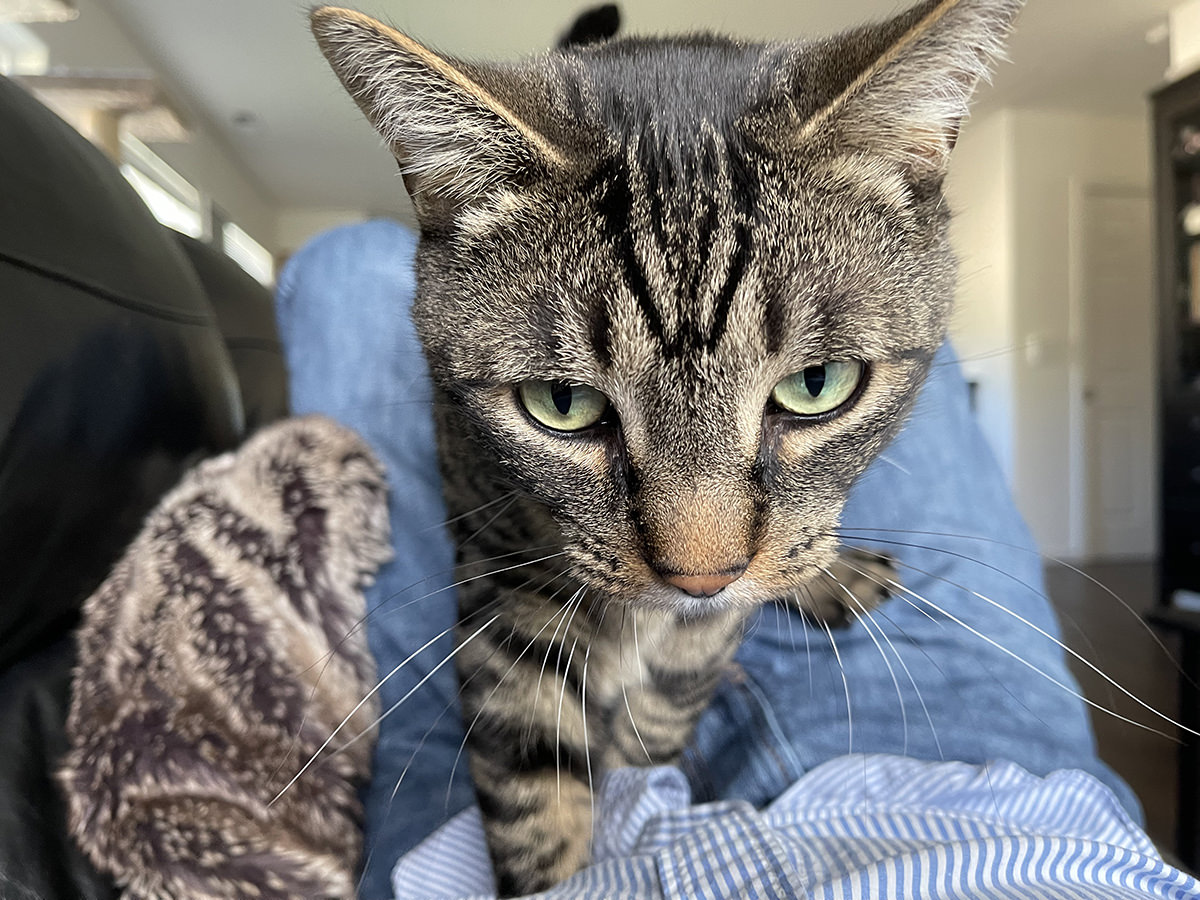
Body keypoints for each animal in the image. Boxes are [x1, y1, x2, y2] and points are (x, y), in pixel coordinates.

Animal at [312, 0, 1022, 897]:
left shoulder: (702, 633)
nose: (701, 575)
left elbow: (664, 712)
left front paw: (637, 786)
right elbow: (534, 795)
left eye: (818, 384)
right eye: (562, 404)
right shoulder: (504, 586)